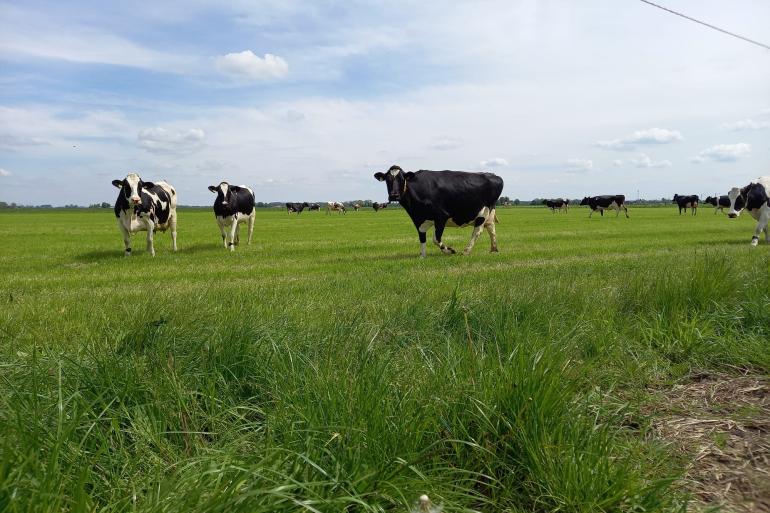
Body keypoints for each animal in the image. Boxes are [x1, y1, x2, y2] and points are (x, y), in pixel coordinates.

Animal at [374, 166, 504, 258]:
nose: (394, 195)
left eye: (402, 179)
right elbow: (422, 238)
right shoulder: (418, 219)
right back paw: (494, 249)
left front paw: (450, 251)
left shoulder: (441, 216)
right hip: (489, 213)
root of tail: (494, 175)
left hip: (483, 212)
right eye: (387, 180)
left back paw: (466, 251)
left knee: (477, 231)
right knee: (491, 228)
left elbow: (436, 239)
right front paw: (422, 256)